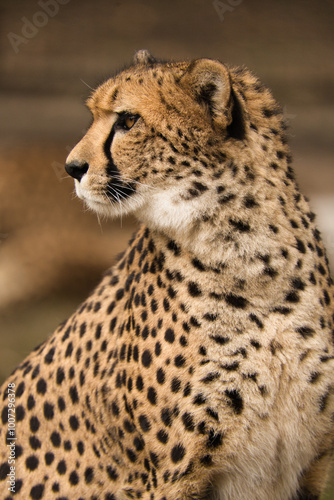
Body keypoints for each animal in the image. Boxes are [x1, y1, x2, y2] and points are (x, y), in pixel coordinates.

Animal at [0, 49, 334, 500]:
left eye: (128, 120)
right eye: (95, 116)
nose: (72, 167)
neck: (257, 264)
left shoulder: (311, 464)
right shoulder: (174, 479)